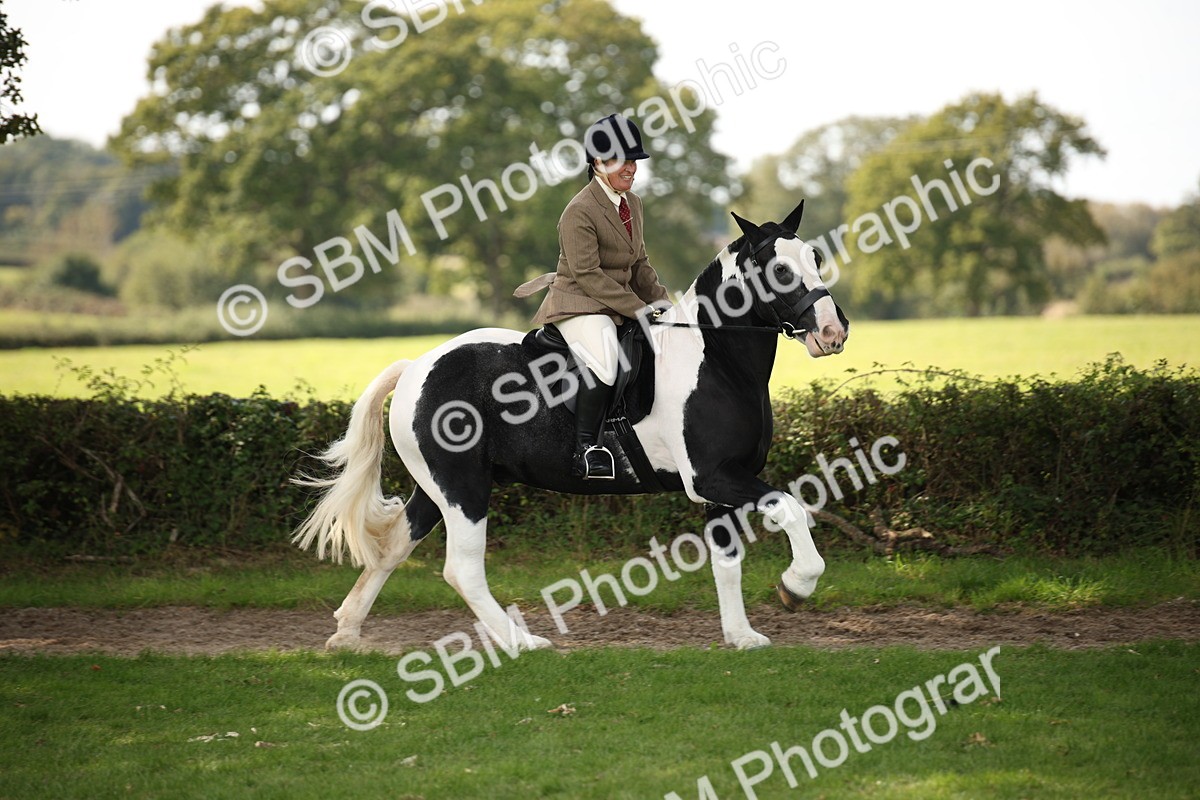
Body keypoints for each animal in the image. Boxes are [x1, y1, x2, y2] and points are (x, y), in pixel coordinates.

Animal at [293, 200, 850, 651]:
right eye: (778, 267)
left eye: (815, 258)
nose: (832, 332)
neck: (716, 358)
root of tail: (416, 366)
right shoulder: (713, 478)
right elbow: (792, 510)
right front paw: (796, 585)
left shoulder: (722, 485)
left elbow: (727, 562)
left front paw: (741, 636)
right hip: (462, 488)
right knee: (462, 569)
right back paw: (523, 642)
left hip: (436, 488)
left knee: (393, 548)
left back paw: (347, 633)